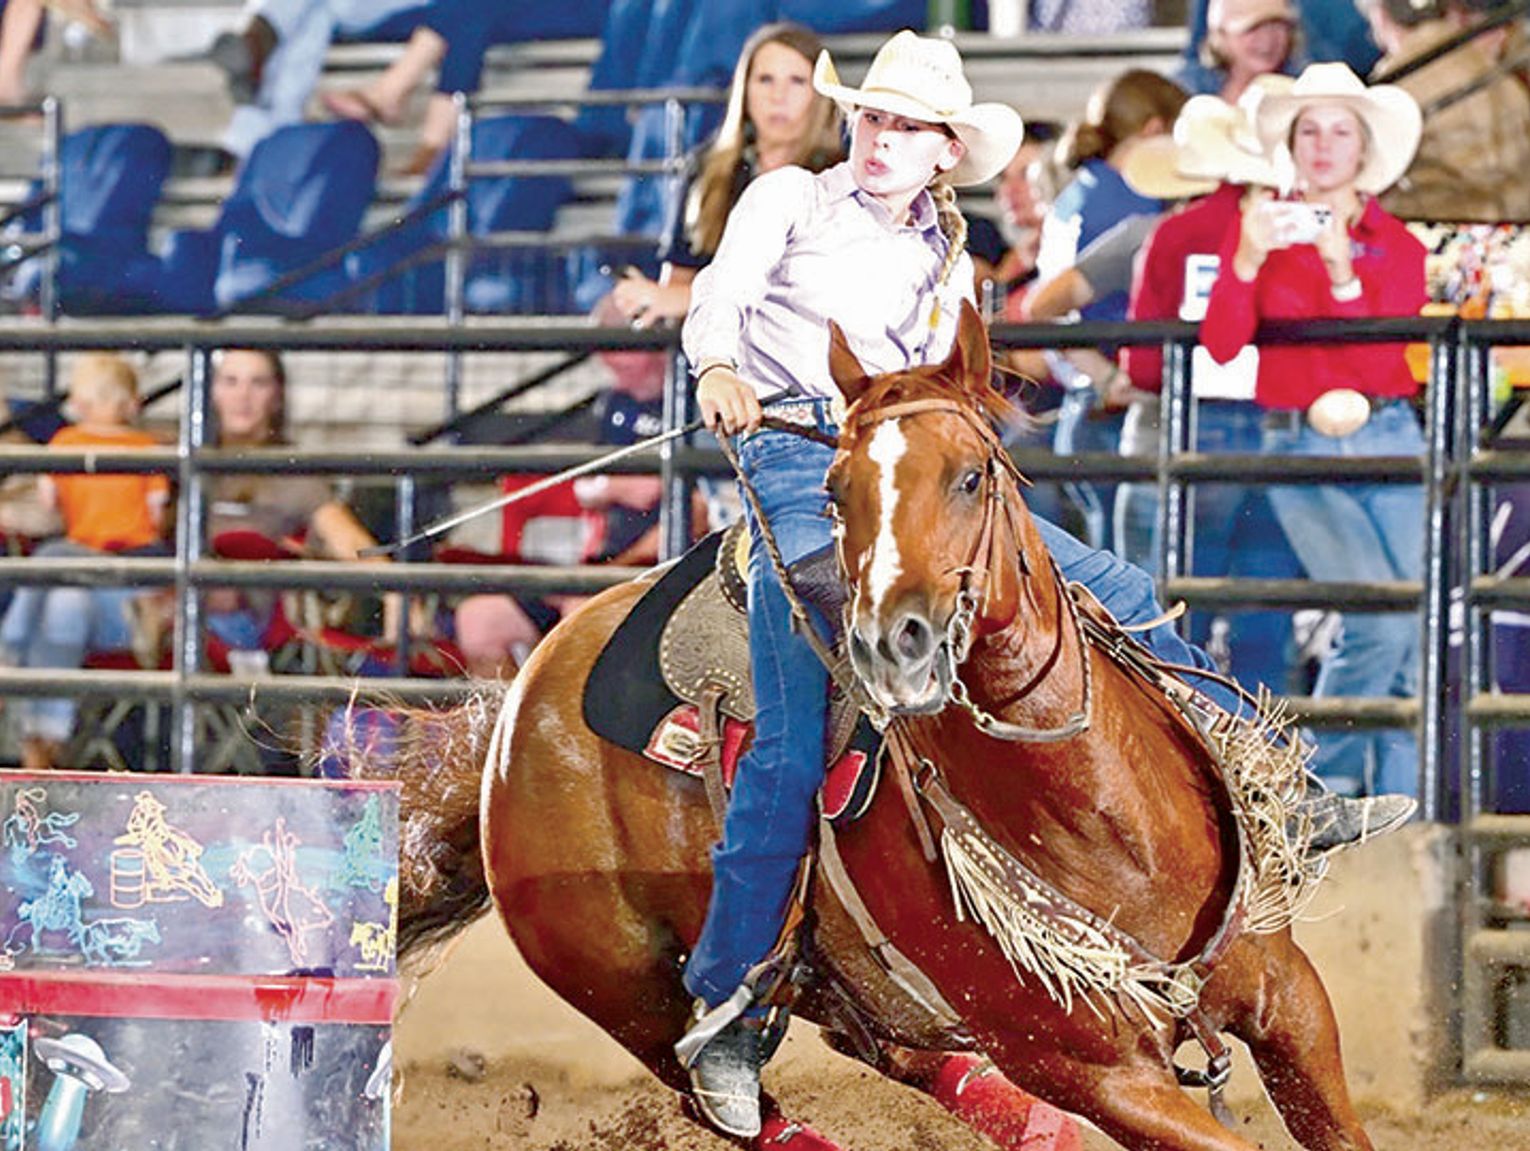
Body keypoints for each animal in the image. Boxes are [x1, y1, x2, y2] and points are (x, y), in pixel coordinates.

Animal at [388, 307, 1370, 1151]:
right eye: (835, 491)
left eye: (973, 473)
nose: (894, 638)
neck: (1108, 828)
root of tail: (516, 709)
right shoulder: (1104, 1078)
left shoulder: (1290, 998)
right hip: (627, 989)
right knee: (733, 1101)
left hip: (840, 979)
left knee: (897, 1050)